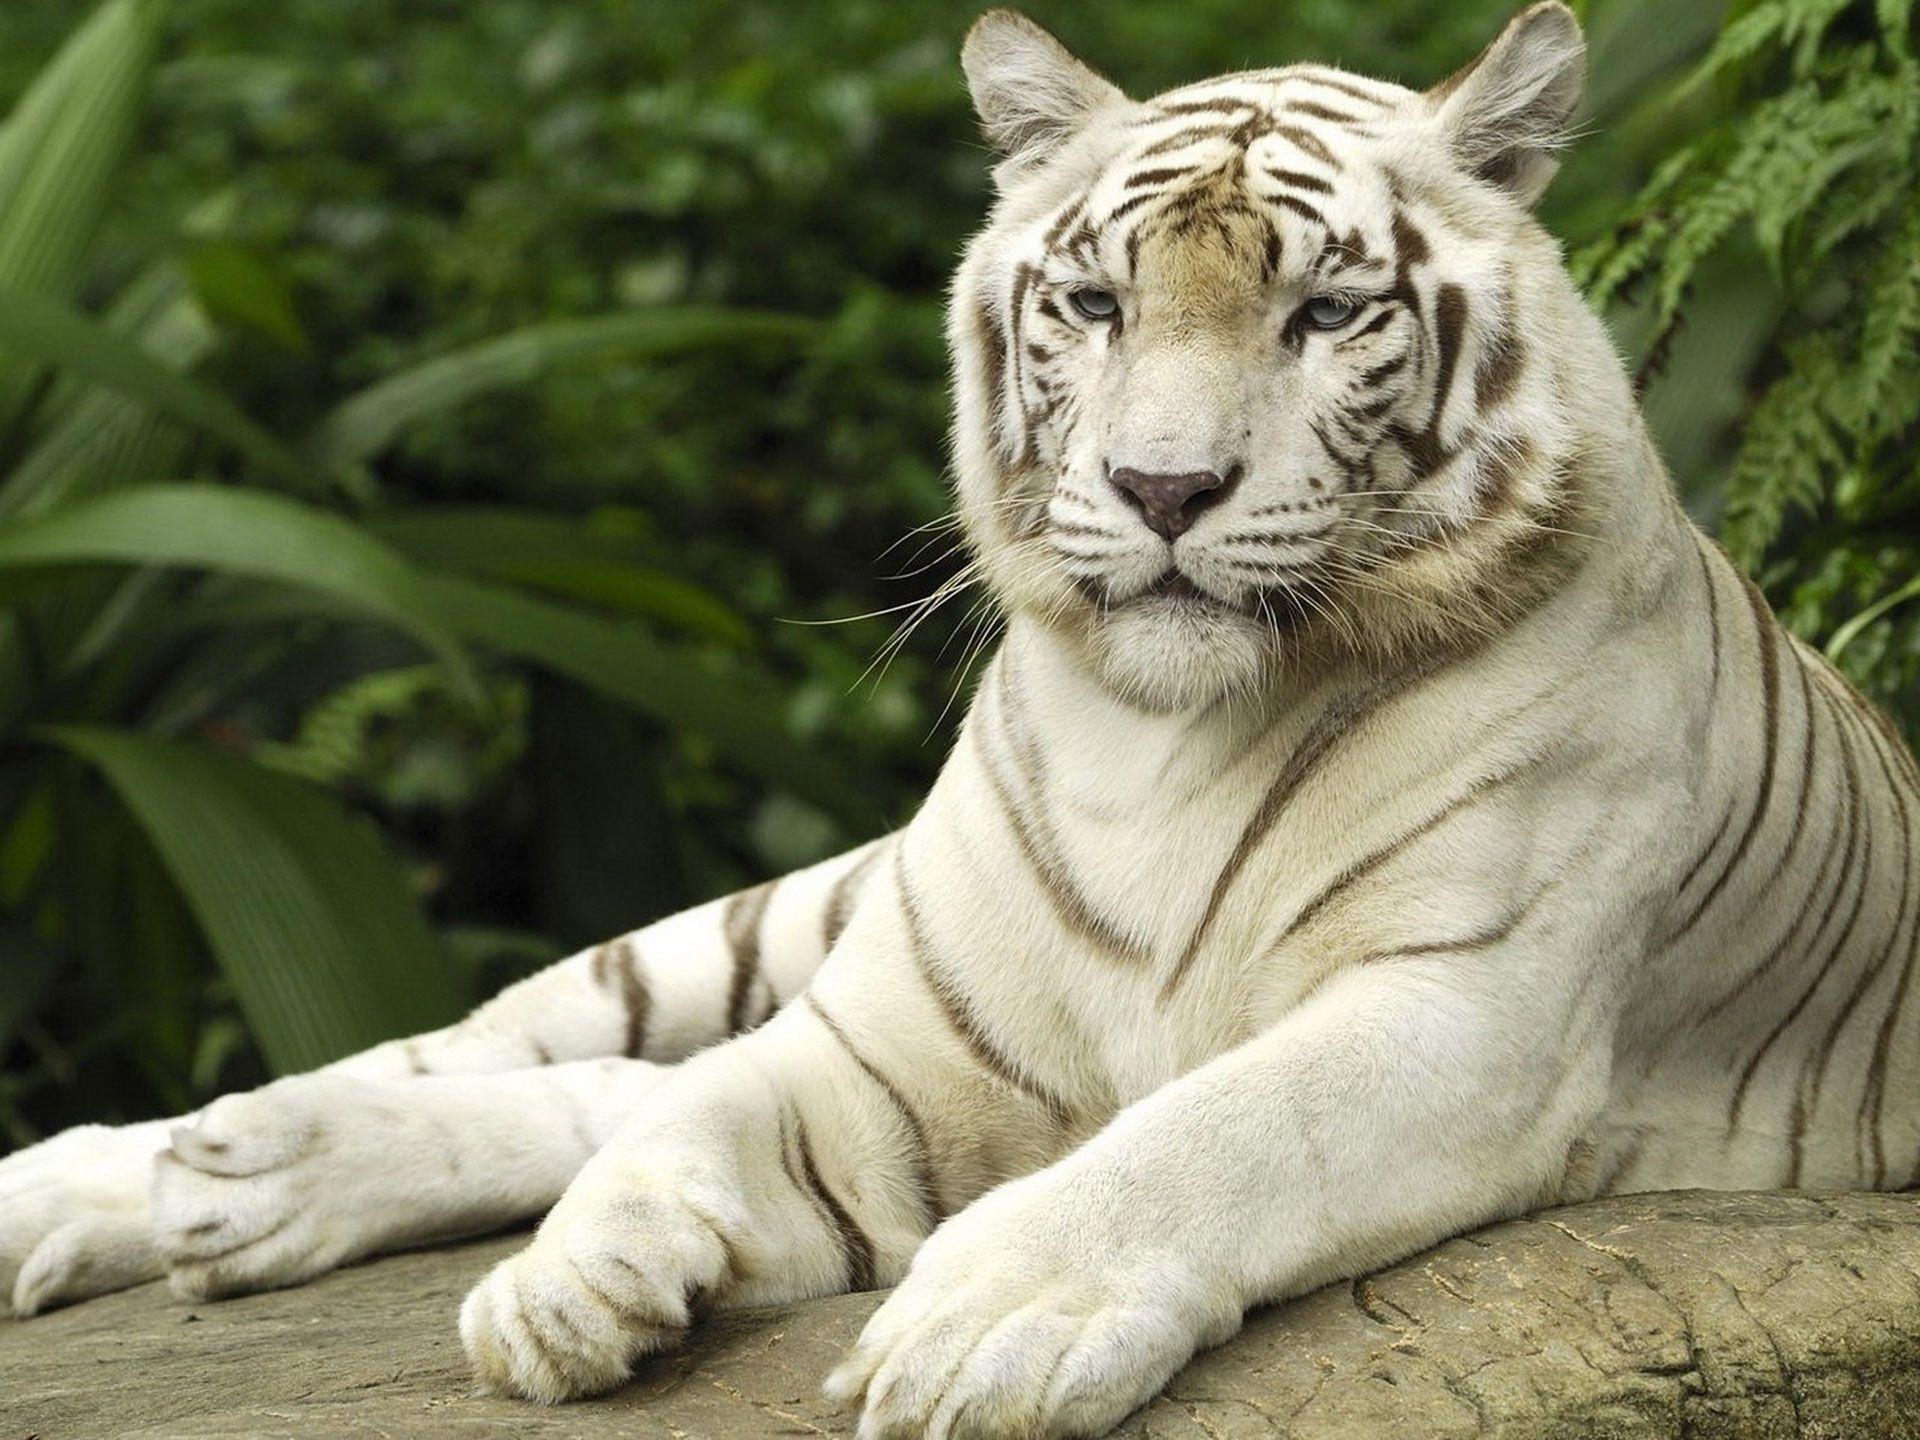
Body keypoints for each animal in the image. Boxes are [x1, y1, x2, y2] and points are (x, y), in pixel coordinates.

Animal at [5, 4, 1918, 1436]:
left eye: (1325, 311)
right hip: (796, 914)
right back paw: (180, 1170)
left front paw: (977, 1327)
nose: (1164, 488)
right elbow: (703, 1115)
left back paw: (234, 1185)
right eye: (1095, 302)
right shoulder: (895, 1041)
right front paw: (565, 1287)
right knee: (557, 1048)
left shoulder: (1462, 1018)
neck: (1167, 741)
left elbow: (1207, 1137)